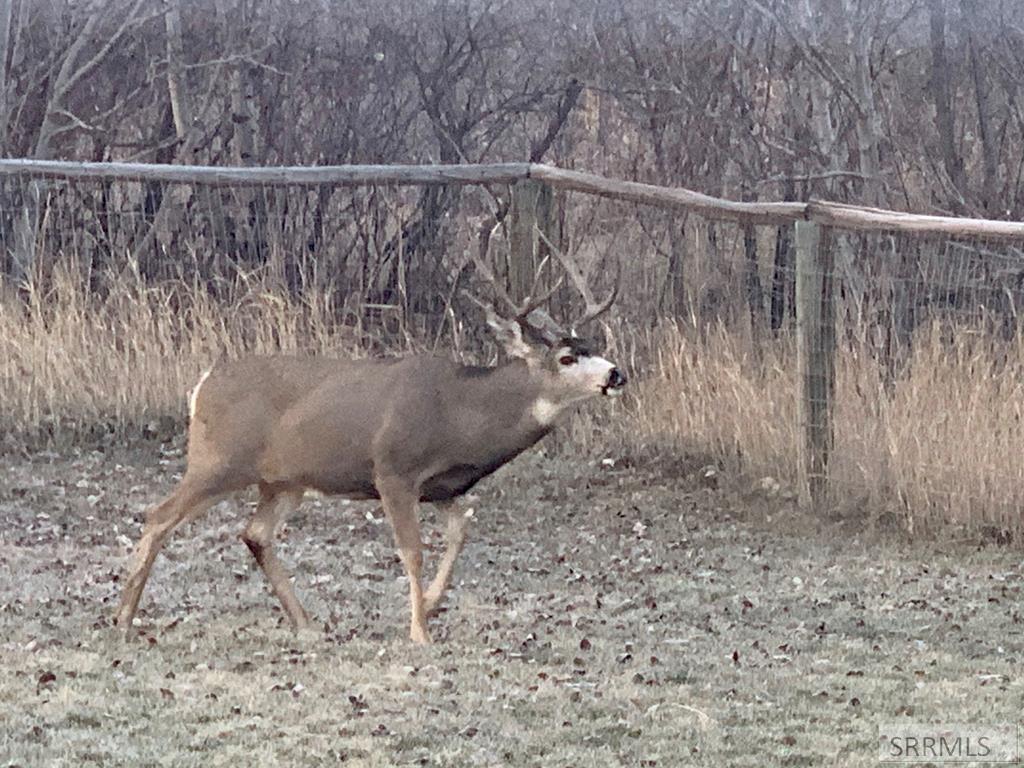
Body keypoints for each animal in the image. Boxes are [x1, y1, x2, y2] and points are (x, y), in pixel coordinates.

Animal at [114, 243, 626, 644]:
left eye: (593, 345)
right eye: (566, 357)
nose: (616, 373)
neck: (461, 414)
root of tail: (202, 385)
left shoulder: (442, 487)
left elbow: (460, 533)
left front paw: (432, 605)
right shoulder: (393, 469)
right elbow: (412, 550)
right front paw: (420, 632)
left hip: (282, 481)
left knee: (254, 534)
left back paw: (306, 623)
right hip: (218, 461)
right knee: (159, 516)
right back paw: (123, 618)